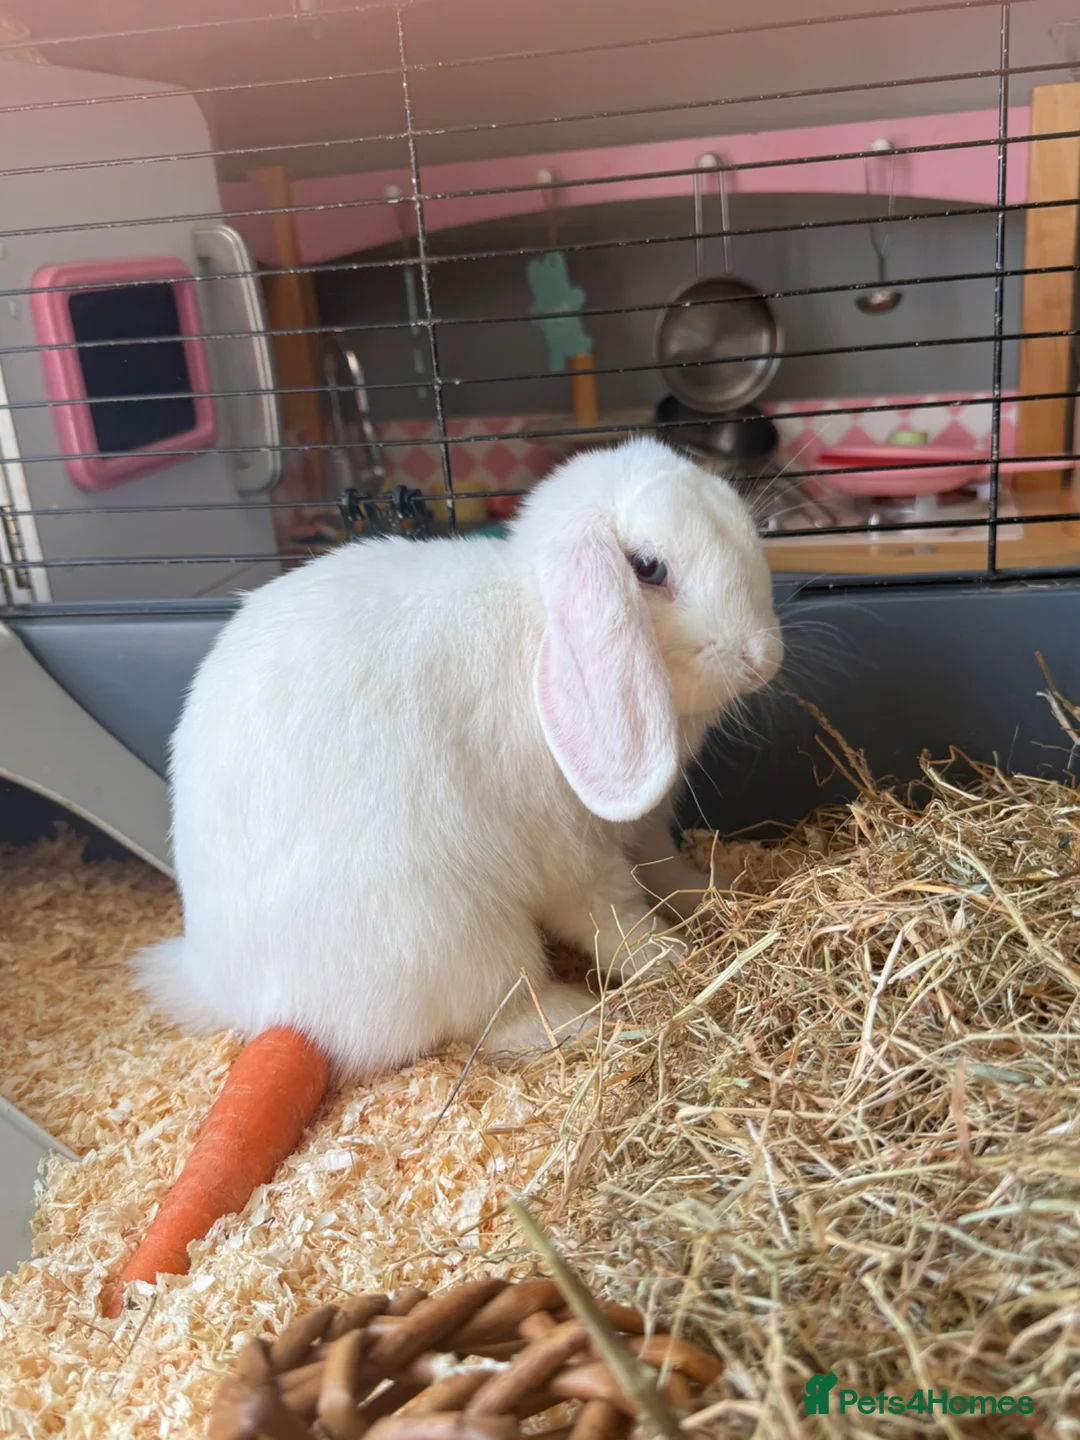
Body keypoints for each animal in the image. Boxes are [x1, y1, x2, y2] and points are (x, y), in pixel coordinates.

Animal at [135, 437, 782, 1077]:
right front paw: (672, 955)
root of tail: (219, 984)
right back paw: (577, 1017)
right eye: (648, 569)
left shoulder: (643, 829)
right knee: (497, 1012)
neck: (539, 625)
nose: (762, 659)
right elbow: (612, 917)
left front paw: (721, 889)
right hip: (448, 931)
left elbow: (667, 872)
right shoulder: (576, 858)